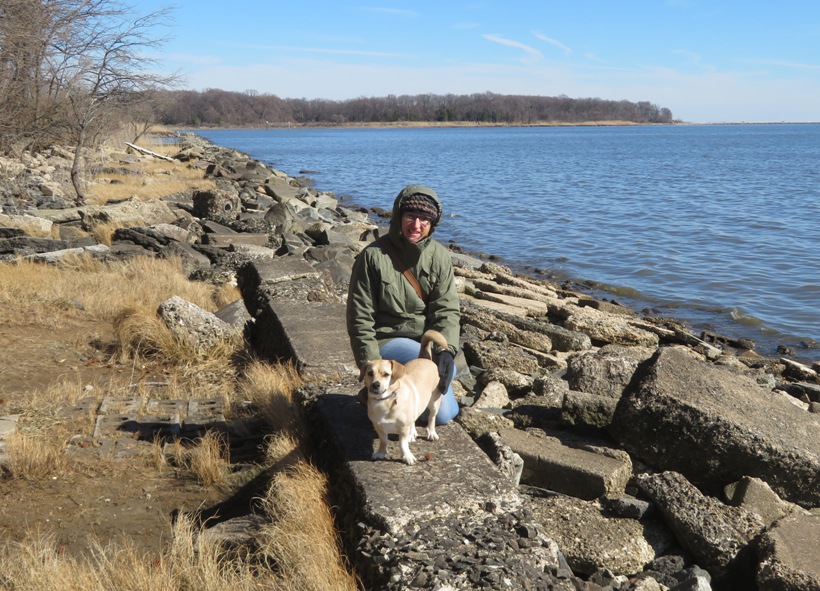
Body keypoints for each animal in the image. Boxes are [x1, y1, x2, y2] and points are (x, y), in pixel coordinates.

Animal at [358, 330, 448, 464]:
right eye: (370, 373)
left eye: (386, 374)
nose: (375, 384)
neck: (384, 401)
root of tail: (425, 358)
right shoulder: (378, 426)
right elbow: (383, 440)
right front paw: (381, 452)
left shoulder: (403, 429)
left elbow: (402, 444)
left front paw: (407, 456)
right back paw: (413, 432)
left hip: (434, 403)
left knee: (431, 418)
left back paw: (431, 432)